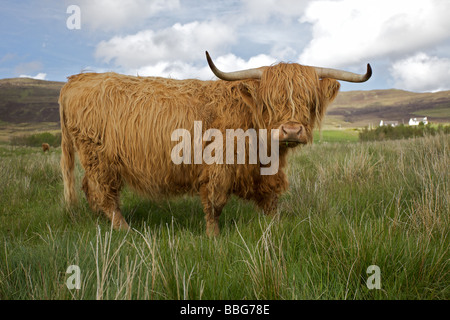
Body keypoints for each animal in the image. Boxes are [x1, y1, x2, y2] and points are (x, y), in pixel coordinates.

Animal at [58, 50, 370, 235]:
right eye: (269, 102)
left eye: (309, 100)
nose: (291, 130)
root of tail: (77, 79)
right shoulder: (218, 167)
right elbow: (215, 203)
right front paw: (213, 237)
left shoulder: (264, 171)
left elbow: (271, 202)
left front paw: (276, 228)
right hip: (99, 157)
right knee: (104, 193)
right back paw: (124, 230)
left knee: (89, 188)